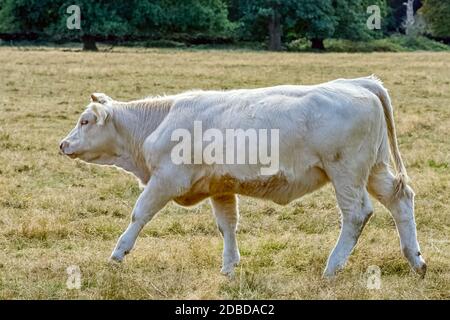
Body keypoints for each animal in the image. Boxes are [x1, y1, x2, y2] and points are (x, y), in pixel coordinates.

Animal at [59, 76, 426, 276]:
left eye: (85, 121)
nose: (63, 144)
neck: (157, 123)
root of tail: (357, 83)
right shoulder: (220, 187)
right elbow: (227, 225)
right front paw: (229, 266)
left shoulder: (165, 180)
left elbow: (139, 214)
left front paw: (118, 253)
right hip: (374, 169)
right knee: (400, 199)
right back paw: (416, 260)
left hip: (346, 172)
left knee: (356, 214)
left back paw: (332, 268)